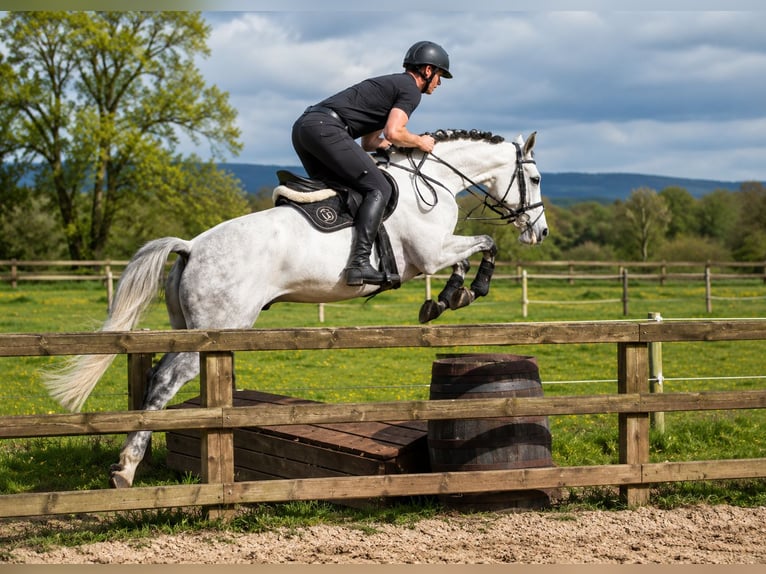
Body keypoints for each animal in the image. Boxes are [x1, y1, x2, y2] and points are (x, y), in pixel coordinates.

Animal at [43, 128, 548, 488]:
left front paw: (446, 299)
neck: (430, 181)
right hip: (217, 329)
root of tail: (191, 246)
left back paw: (134, 460)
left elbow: (469, 254)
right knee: (166, 380)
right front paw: (465, 291)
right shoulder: (429, 252)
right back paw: (127, 468)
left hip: (189, 325)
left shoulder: (435, 253)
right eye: (537, 179)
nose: (539, 232)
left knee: (159, 378)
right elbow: (486, 243)